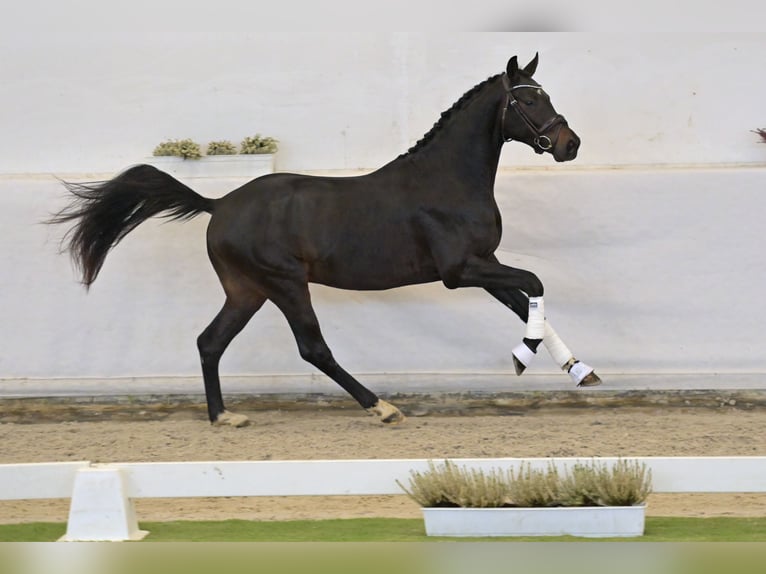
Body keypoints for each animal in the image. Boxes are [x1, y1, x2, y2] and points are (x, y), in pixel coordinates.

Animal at [51, 54, 604, 430]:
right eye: (527, 99)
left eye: (546, 95)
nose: (570, 144)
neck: (446, 181)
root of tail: (219, 204)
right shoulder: (460, 270)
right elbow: (535, 284)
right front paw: (521, 359)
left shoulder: (484, 263)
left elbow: (528, 301)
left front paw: (580, 371)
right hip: (285, 284)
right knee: (312, 347)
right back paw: (382, 407)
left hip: (247, 291)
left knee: (210, 342)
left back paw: (224, 417)